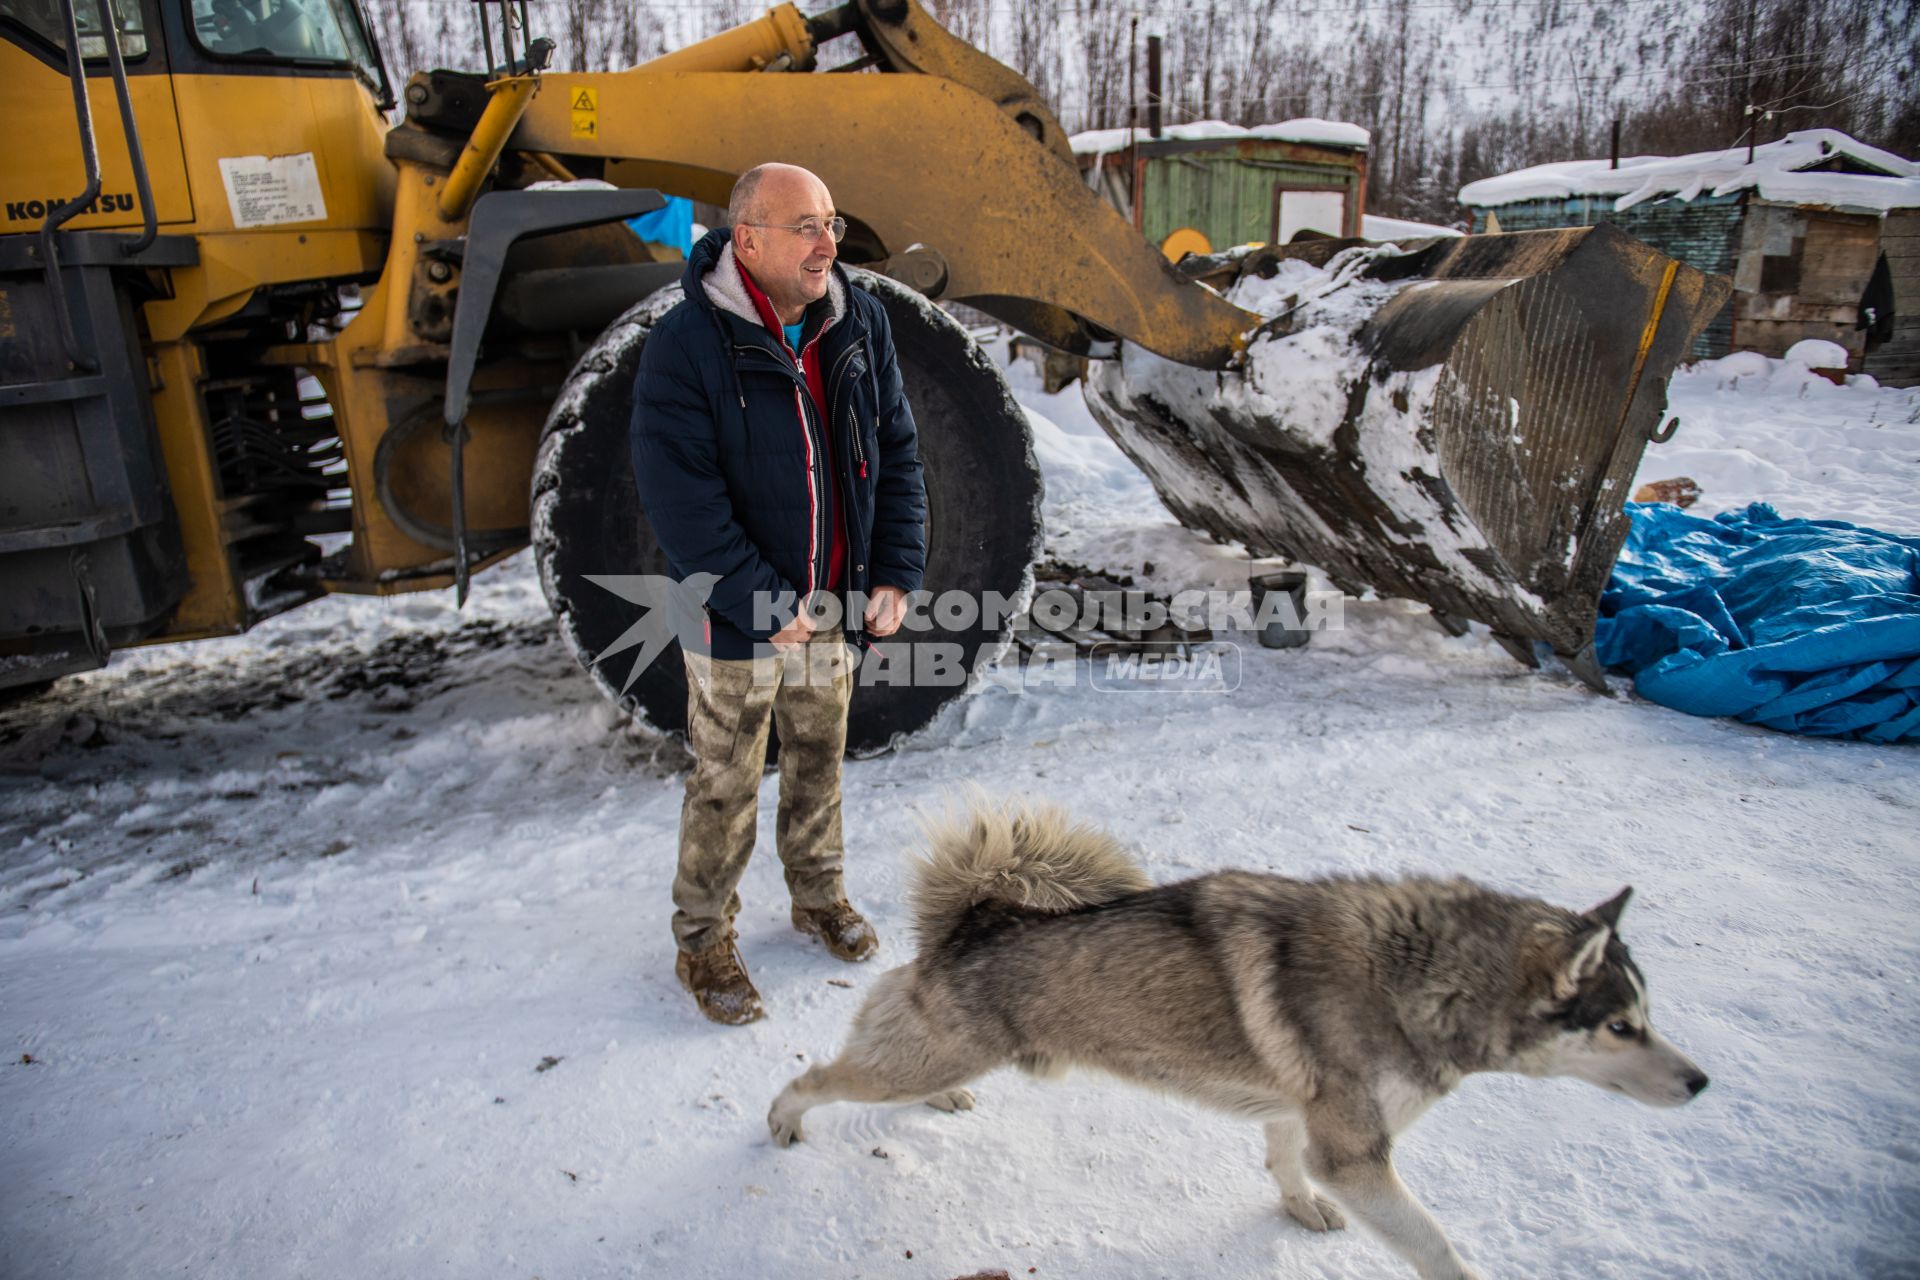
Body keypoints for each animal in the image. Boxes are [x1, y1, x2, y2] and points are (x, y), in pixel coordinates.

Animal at [768, 802, 1712, 1280]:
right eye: (1621, 1025)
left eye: (1647, 1014)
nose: (1702, 1083)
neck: (1415, 980)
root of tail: (976, 915)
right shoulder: (1357, 1153)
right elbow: (1436, 1245)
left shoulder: (1306, 1113)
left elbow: (1285, 1161)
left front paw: (1298, 1209)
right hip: (910, 1057)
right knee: (815, 1078)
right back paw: (783, 1123)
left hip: (943, 1051)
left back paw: (943, 1098)